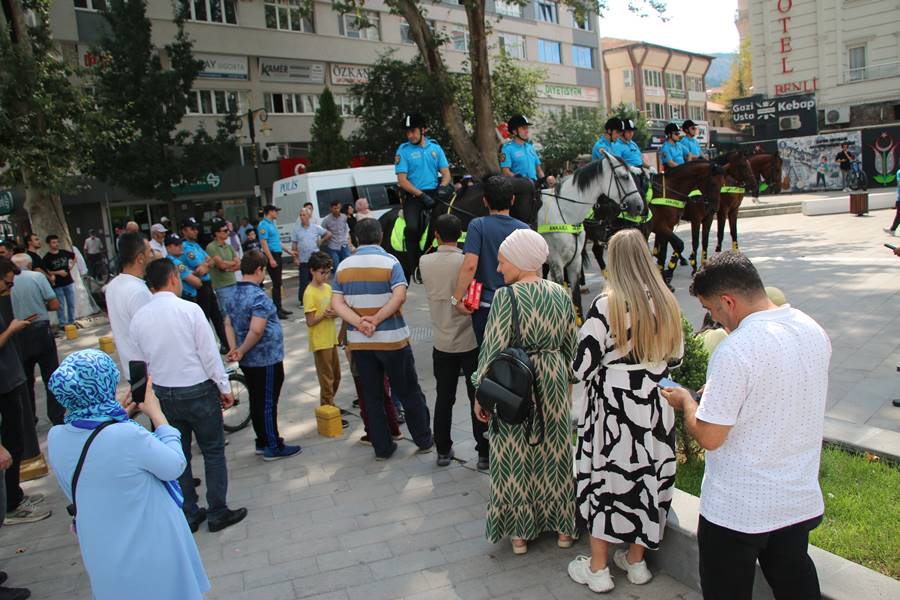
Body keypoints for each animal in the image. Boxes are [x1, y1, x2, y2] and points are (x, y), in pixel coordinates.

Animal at [536, 152, 644, 322]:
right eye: (625, 176)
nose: (639, 206)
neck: (565, 212)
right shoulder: (556, 262)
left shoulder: (574, 261)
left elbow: (575, 298)